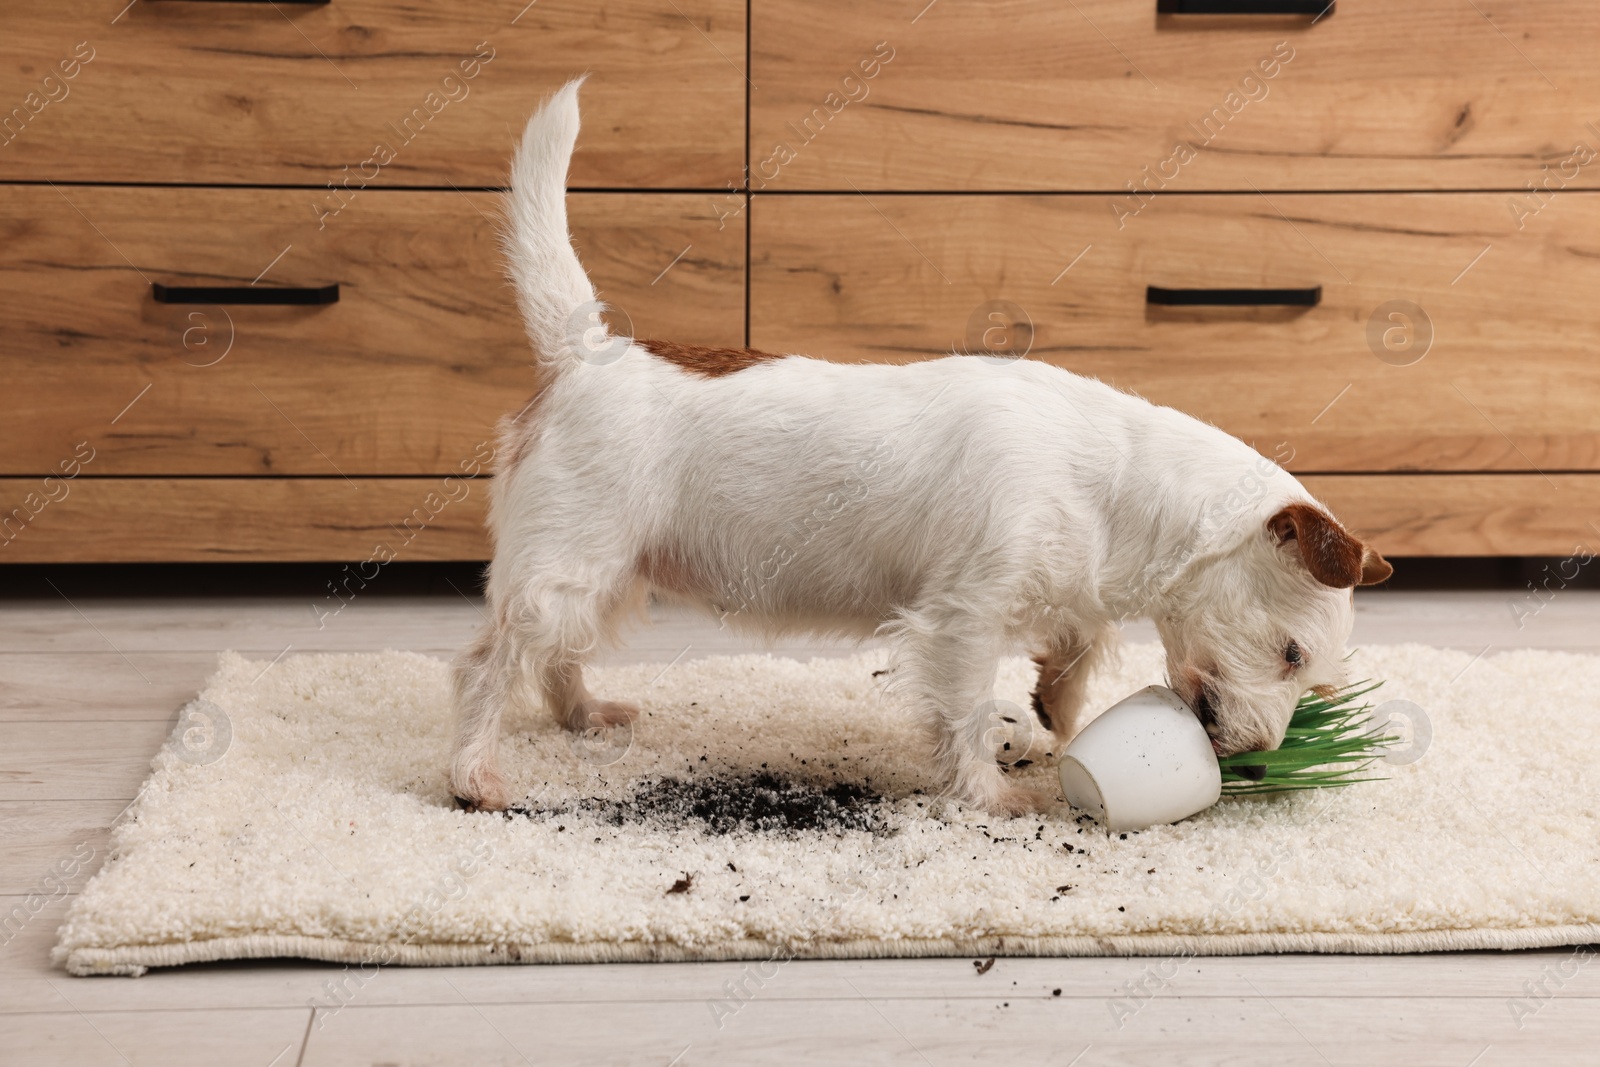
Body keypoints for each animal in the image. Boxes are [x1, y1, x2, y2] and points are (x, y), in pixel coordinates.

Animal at [448, 83, 1388, 819]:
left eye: (1315, 682)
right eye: (1292, 654)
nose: (1257, 756)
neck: (1117, 489)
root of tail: (585, 351)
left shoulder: (1066, 588)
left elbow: (1076, 653)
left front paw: (1056, 715)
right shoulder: (961, 618)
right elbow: (964, 708)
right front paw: (991, 793)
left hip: (608, 576)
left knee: (558, 662)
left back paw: (583, 715)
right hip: (564, 569)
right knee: (489, 668)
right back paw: (474, 776)